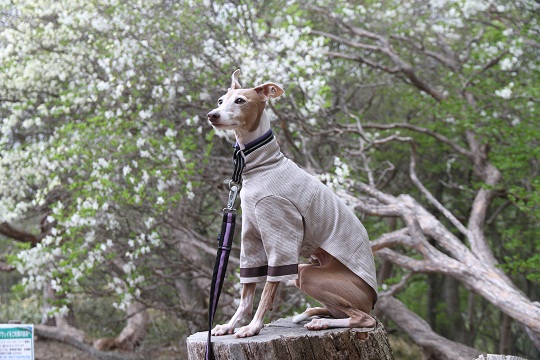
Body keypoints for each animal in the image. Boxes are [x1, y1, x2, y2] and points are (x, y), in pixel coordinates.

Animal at [207, 69, 380, 338]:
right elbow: (247, 295)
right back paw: (319, 317)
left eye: (240, 101)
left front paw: (253, 327)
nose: (212, 115)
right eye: (220, 101)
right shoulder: (251, 236)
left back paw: (322, 323)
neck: (263, 165)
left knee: (364, 318)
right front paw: (230, 325)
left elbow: (267, 291)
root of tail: (371, 299)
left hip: (309, 274)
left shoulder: (281, 234)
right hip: (304, 273)